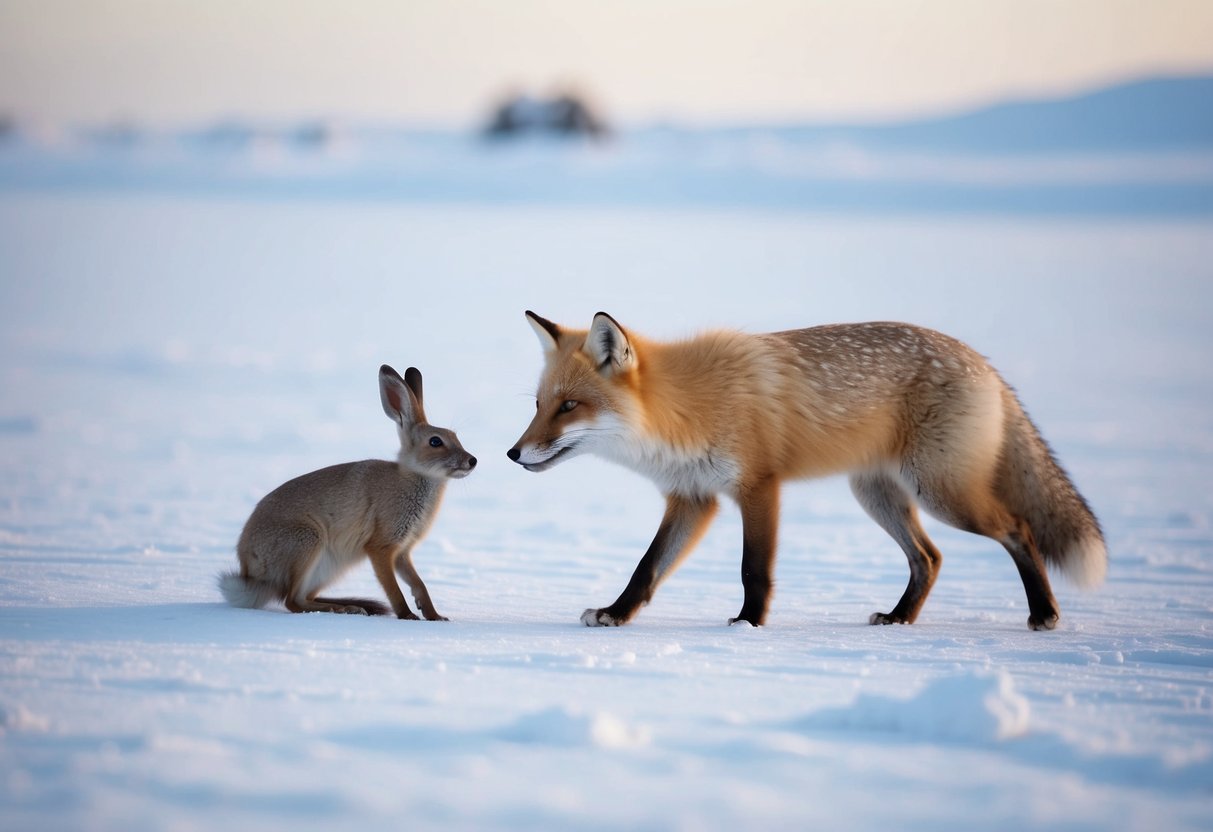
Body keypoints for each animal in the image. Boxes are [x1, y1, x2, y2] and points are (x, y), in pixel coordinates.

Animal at [218, 364, 476, 619]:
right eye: (435, 442)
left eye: (456, 437)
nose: (472, 460)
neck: (414, 478)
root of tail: (249, 572)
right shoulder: (381, 547)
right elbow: (393, 588)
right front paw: (408, 616)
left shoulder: (403, 552)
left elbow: (419, 584)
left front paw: (435, 616)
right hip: (307, 543)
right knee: (292, 601)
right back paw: (343, 608)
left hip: (328, 567)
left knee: (303, 598)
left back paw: (351, 607)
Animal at [508, 311, 1106, 631]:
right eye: (538, 404)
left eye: (569, 407)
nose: (513, 453)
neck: (686, 407)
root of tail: (984, 362)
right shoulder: (693, 497)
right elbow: (647, 568)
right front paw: (616, 613)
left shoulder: (757, 487)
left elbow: (754, 569)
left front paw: (749, 624)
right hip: (878, 494)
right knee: (929, 557)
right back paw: (899, 619)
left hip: (943, 492)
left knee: (1018, 529)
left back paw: (1045, 614)